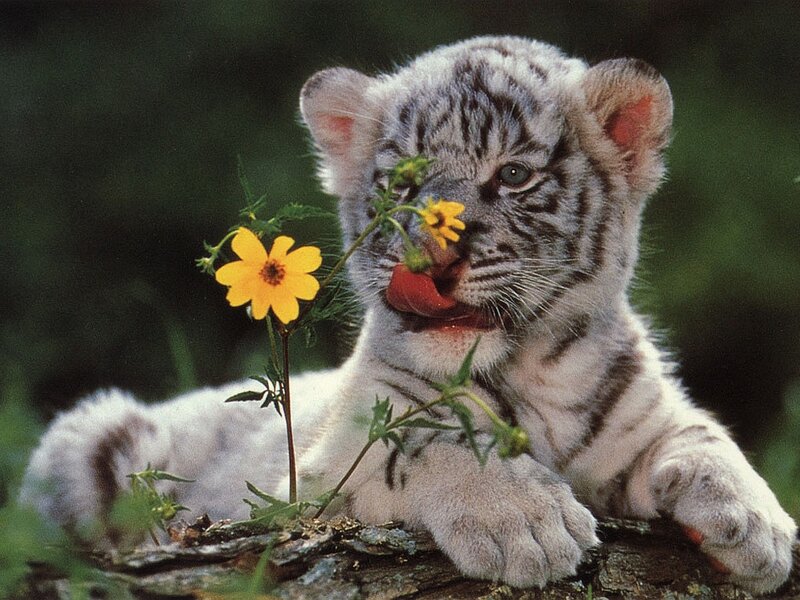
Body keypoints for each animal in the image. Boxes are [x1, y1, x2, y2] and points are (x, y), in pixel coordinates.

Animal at [21, 36, 796, 594]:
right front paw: (528, 523)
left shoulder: (642, 415)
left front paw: (760, 525)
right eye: (402, 184)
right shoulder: (323, 472)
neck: (535, 375)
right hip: (86, 437)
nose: (432, 262)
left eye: (513, 175)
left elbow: (701, 434)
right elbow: (427, 445)